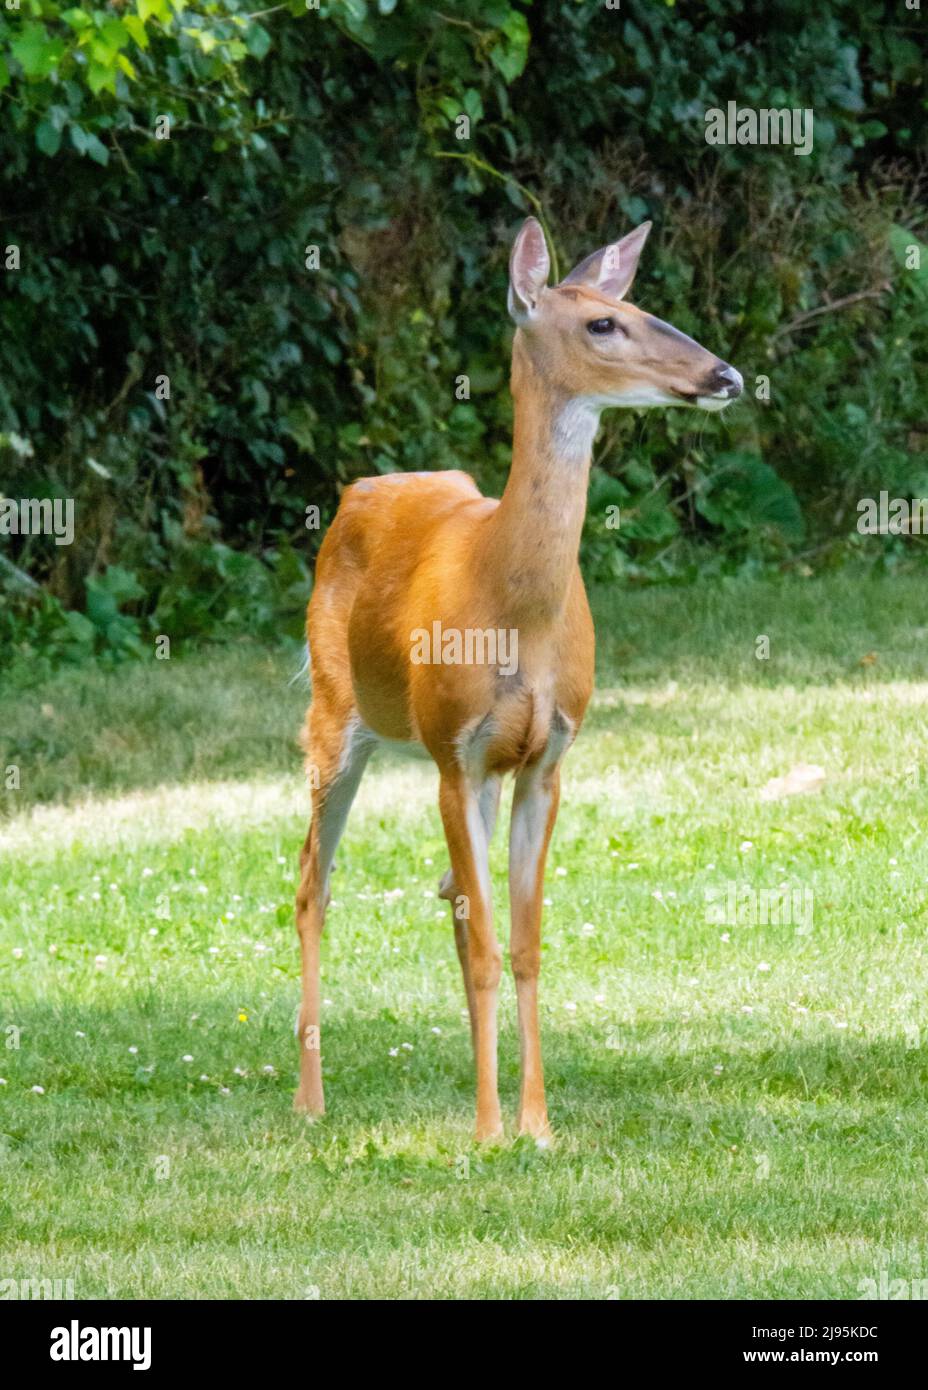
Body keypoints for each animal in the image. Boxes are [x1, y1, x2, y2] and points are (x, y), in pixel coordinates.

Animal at [294, 217, 742, 1142]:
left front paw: (535, 1123)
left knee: (439, 896)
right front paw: (490, 1130)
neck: (515, 603)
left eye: (642, 305)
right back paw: (310, 1101)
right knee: (312, 888)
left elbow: (525, 942)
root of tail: (359, 490)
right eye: (604, 323)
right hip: (332, 713)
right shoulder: (454, 751)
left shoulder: (546, 759)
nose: (727, 376)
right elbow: (484, 948)